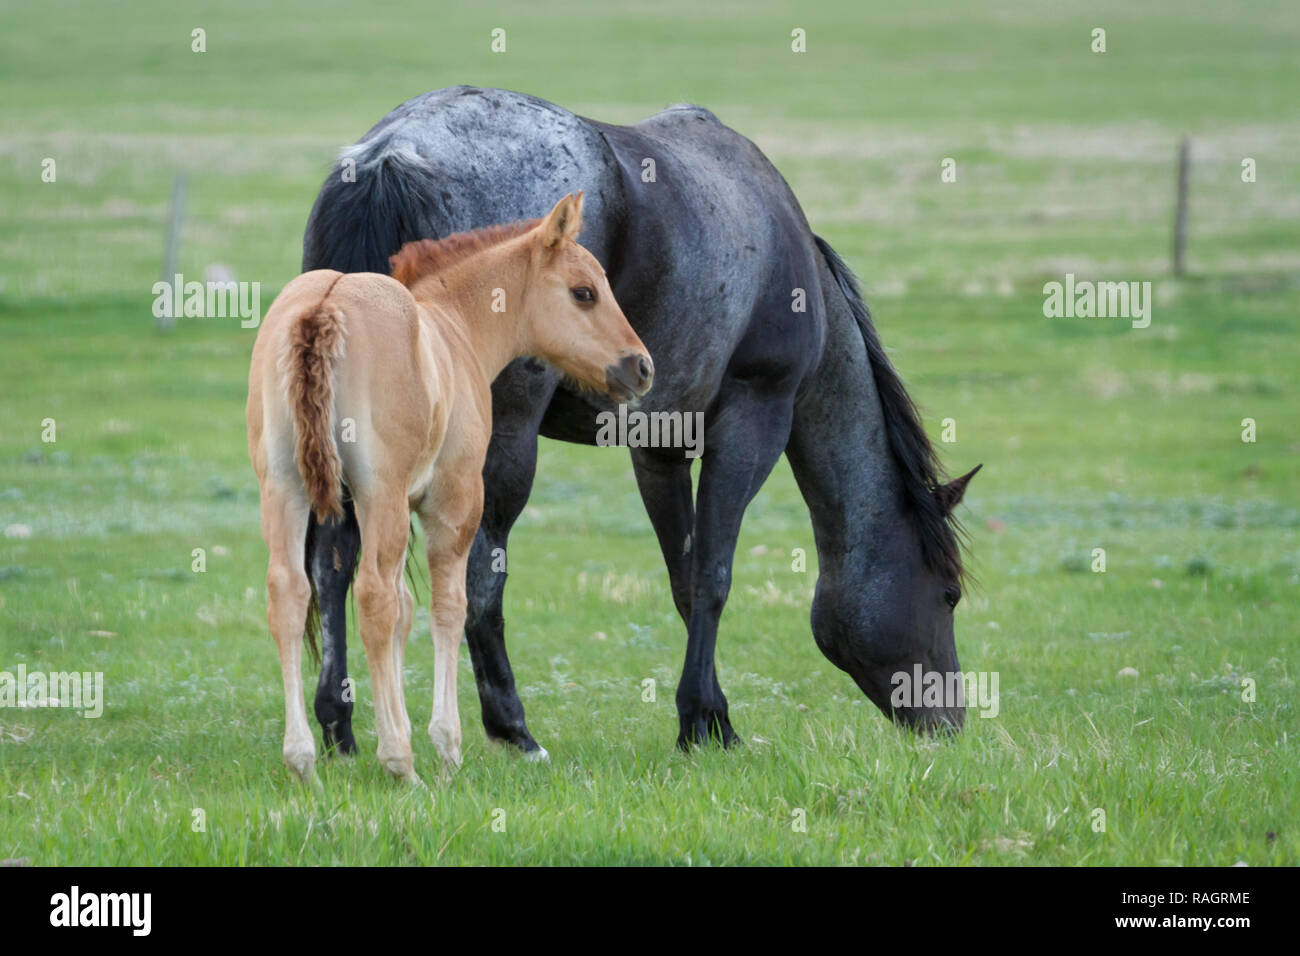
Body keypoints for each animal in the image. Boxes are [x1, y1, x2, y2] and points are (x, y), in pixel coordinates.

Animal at [247, 193, 653, 781]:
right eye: (585, 293)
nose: (641, 366)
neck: (453, 329)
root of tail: (324, 307)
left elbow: (399, 609)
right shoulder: (453, 503)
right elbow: (447, 606)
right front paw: (446, 743)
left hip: (285, 488)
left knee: (290, 593)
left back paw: (303, 760)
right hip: (379, 494)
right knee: (372, 596)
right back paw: (401, 763)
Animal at [301, 86, 980, 759]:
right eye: (949, 595)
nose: (951, 724)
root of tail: (395, 154)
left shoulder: (660, 445)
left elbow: (684, 579)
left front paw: (709, 716)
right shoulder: (754, 420)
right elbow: (712, 574)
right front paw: (705, 721)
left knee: (331, 564)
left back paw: (339, 727)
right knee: (475, 577)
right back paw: (513, 729)